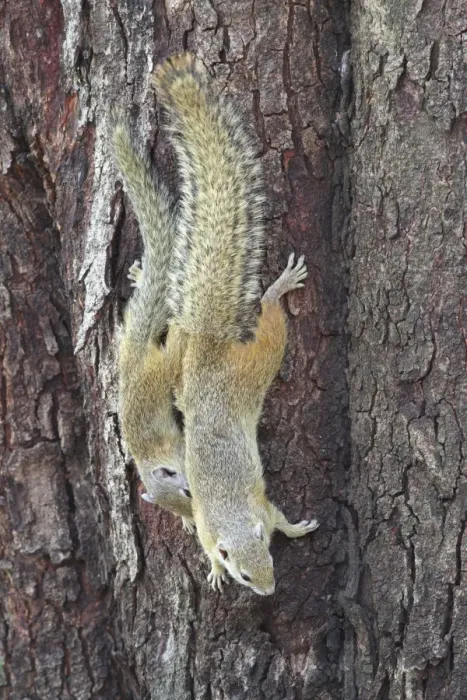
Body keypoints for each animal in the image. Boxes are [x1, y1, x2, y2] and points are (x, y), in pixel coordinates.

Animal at [153, 53, 319, 596]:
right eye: (245, 573)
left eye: (268, 557)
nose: (268, 592)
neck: (232, 519)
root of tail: (207, 346)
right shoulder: (212, 527)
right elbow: (208, 547)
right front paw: (210, 569)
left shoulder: (261, 509)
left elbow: (280, 516)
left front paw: (298, 528)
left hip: (250, 365)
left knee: (268, 321)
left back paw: (279, 287)